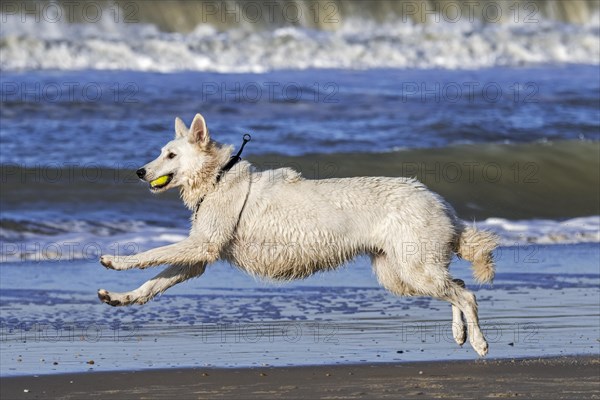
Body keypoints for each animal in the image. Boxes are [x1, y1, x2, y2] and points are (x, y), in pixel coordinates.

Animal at [98, 112, 500, 356]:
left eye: (170, 155)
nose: (138, 171)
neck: (217, 178)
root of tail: (441, 202)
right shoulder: (198, 257)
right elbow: (152, 284)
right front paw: (120, 298)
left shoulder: (202, 245)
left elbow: (149, 255)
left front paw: (116, 260)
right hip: (401, 275)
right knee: (458, 285)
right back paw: (459, 333)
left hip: (414, 269)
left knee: (466, 296)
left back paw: (479, 342)